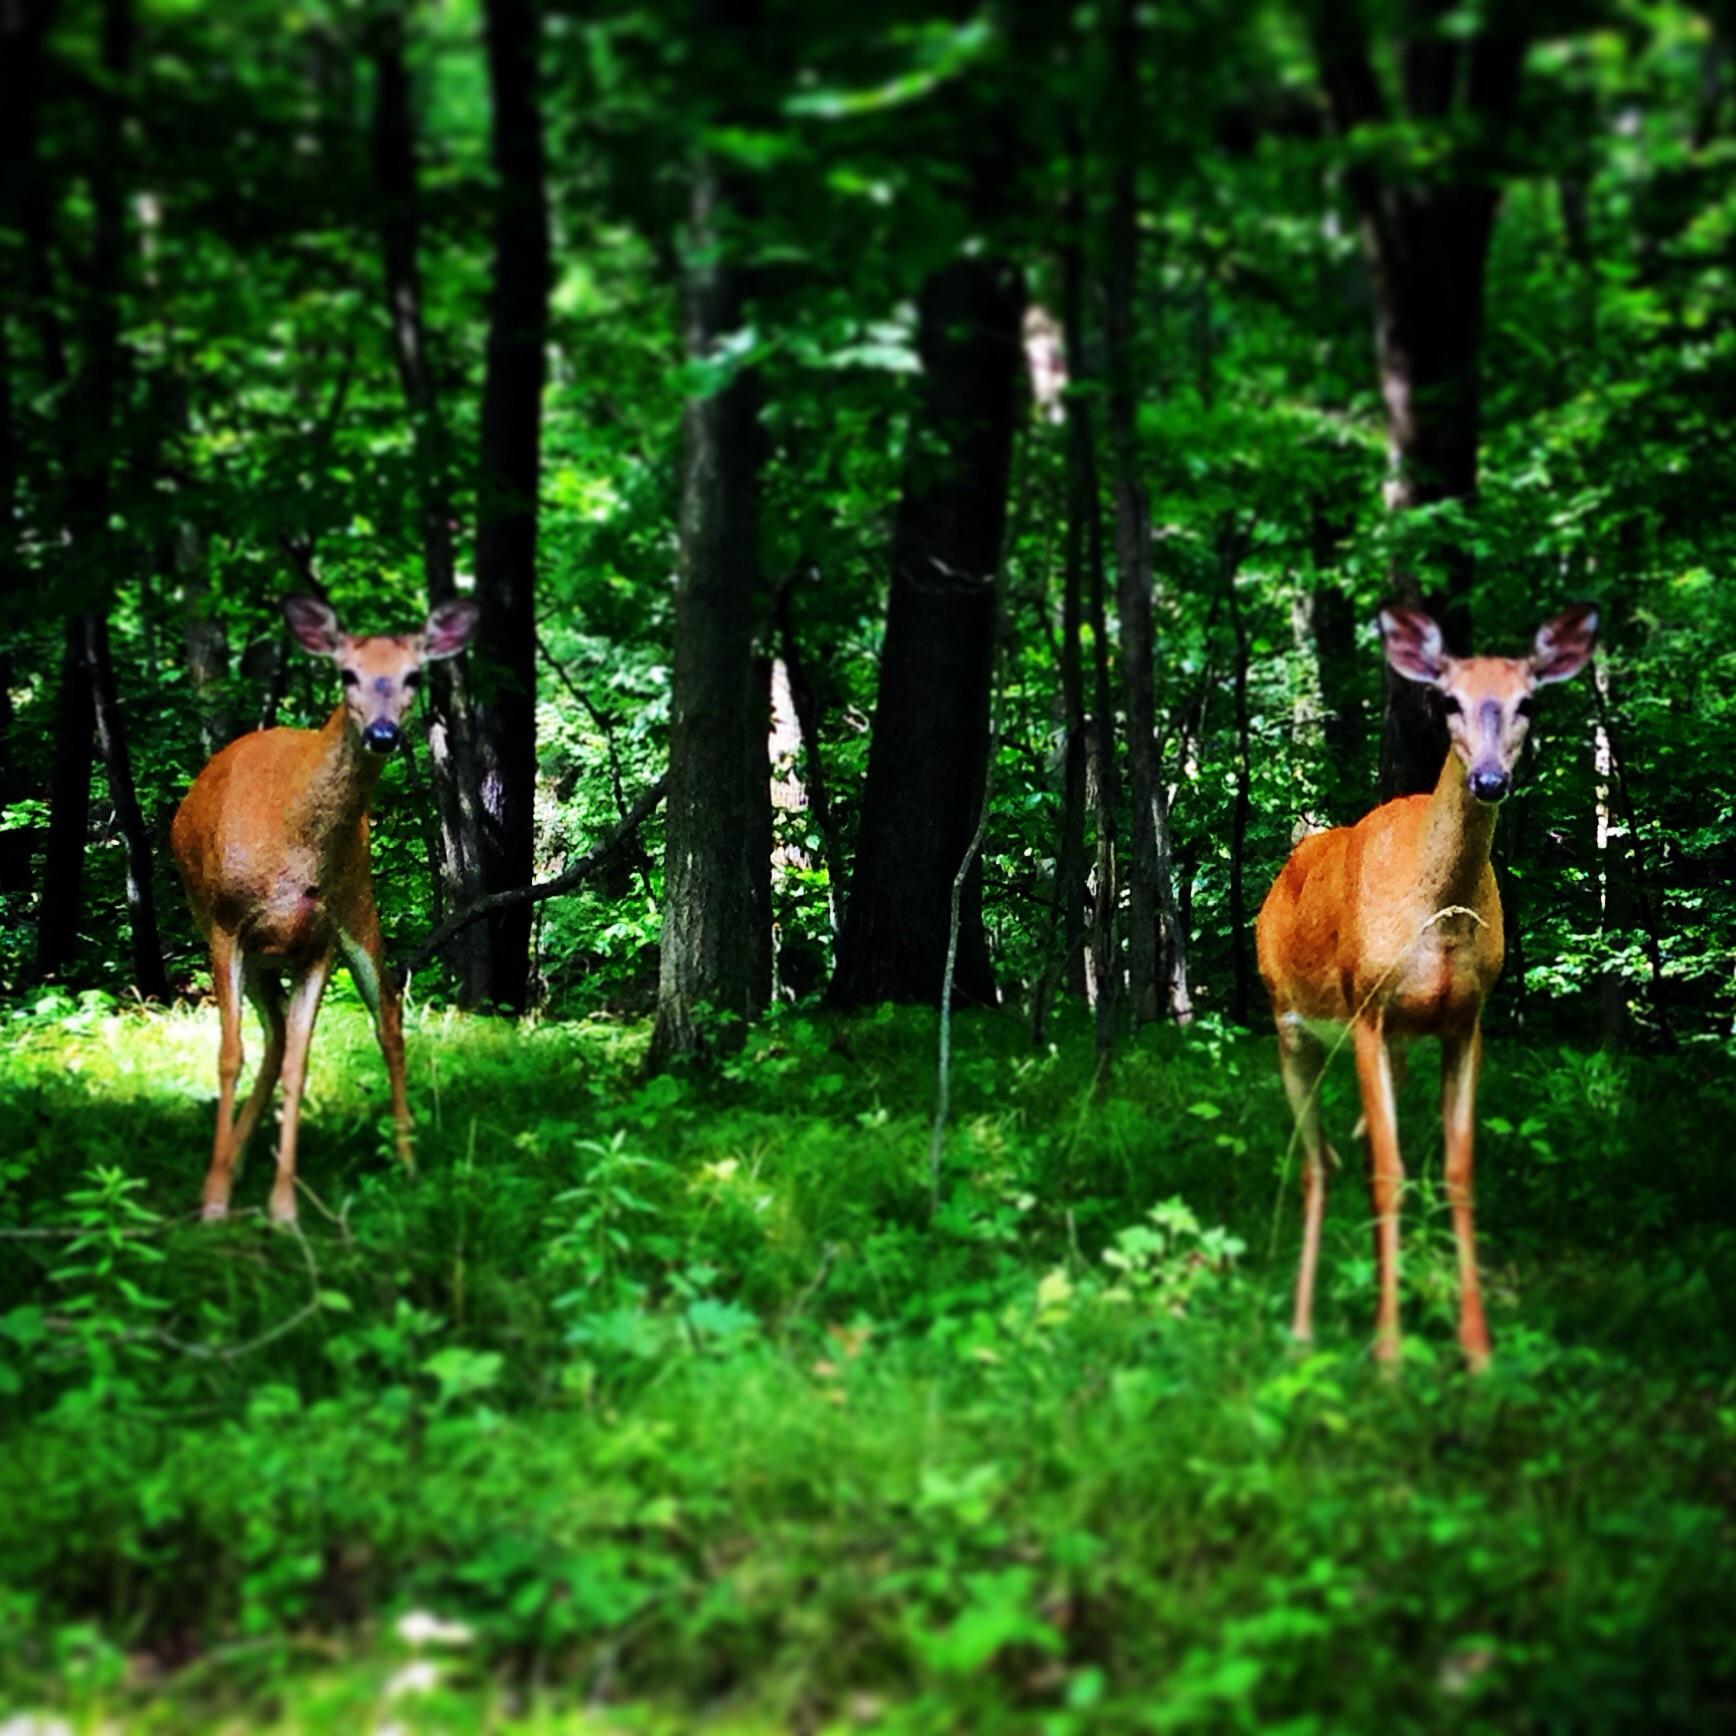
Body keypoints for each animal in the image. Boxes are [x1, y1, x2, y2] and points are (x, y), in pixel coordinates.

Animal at [171, 593, 481, 1225]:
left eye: (414, 675)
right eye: (347, 673)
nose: (383, 732)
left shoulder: (320, 940)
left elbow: (300, 1063)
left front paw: (284, 1206)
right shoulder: (225, 926)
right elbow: (231, 1055)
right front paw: (214, 1198)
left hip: (359, 906)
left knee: (387, 1021)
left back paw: (406, 1159)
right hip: (250, 948)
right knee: (271, 1037)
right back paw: (236, 1157)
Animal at [1255, 603, 1598, 1370]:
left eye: (1529, 701)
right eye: (1447, 700)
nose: (1491, 780)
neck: (1436, 915)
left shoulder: (1465, 1022)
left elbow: (1457, 1172)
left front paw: (1477, 1349)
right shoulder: (1366, 1009)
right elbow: (1389, 1171)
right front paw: (1388, 1352)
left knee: (1345, 1152)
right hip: (1291, 1026)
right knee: (1318, 1164)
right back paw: (1301, 1328)